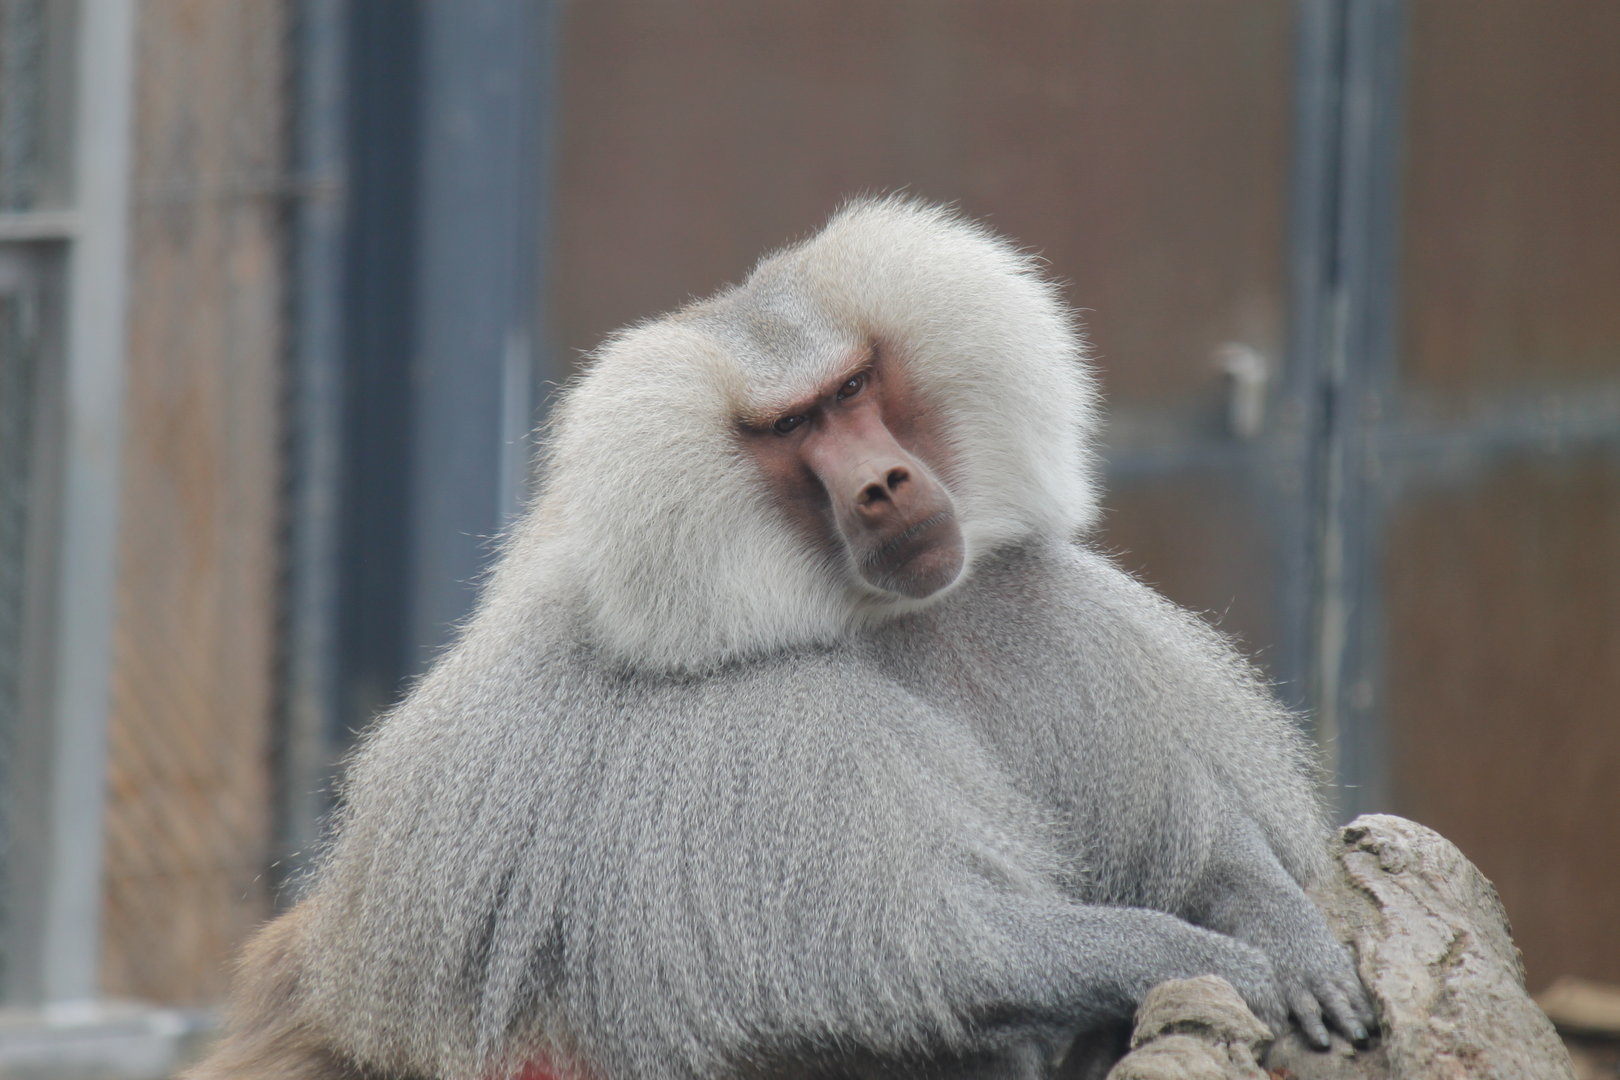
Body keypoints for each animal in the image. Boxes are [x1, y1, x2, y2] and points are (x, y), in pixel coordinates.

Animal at [186, 198, 1374, 1080]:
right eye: (789, 428)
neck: (863, 623)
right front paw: (1209, 962)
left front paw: (1280, 927)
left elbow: (1190, 835)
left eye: (853, 389)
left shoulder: (1020, 616)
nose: (886, 483)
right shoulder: (765, 741)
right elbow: (943, 951)